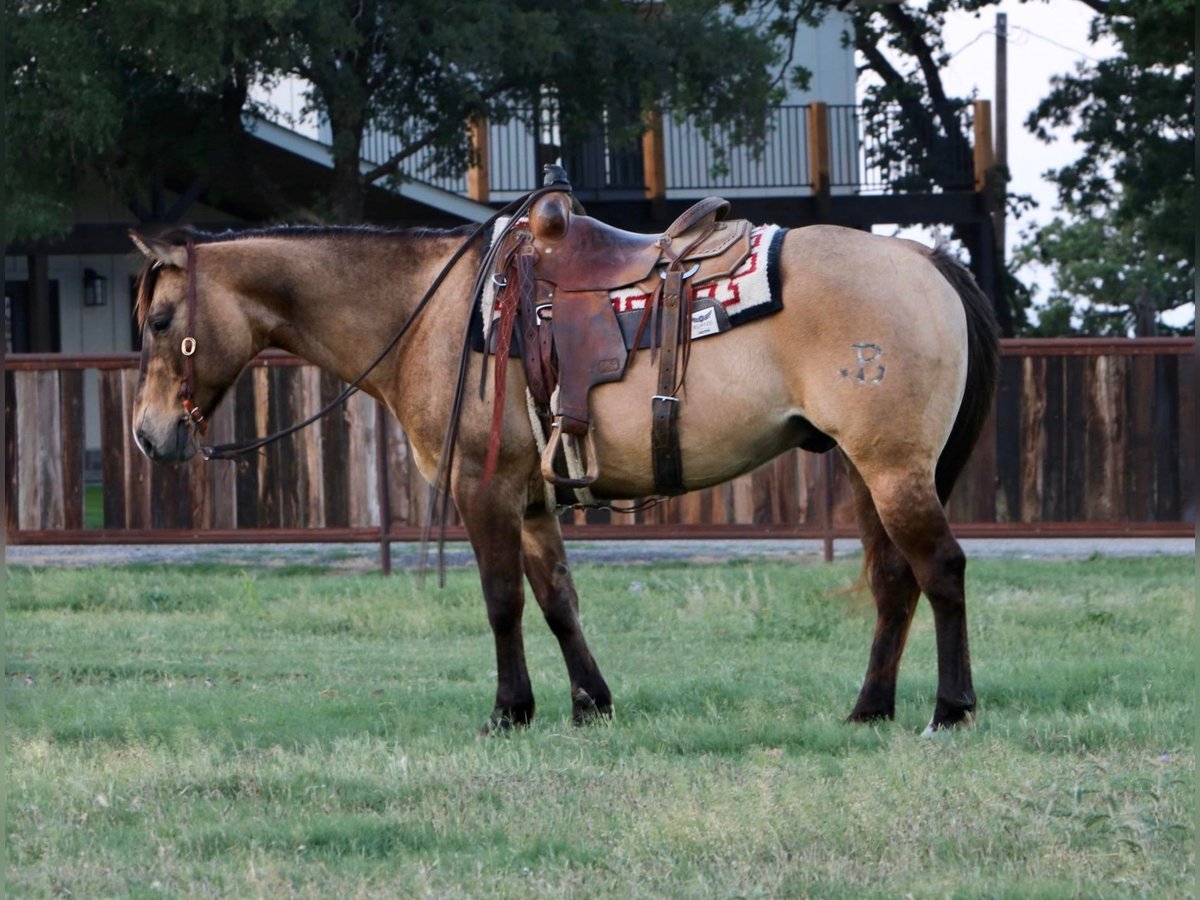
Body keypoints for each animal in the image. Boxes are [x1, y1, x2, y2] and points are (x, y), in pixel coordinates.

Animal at [126, 187, 998, 734]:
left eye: (162, 320)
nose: (148, 435)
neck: (436, 315)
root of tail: (926, 261)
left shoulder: (484, 490)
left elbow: (502, 601)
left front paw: (510, 710)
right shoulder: (535, 498)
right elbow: (557, 600)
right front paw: (590, 703)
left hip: (893, 467)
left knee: (942, 569)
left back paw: (949, 710)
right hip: (864, 469)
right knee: (895, 581)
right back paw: (869, 709)